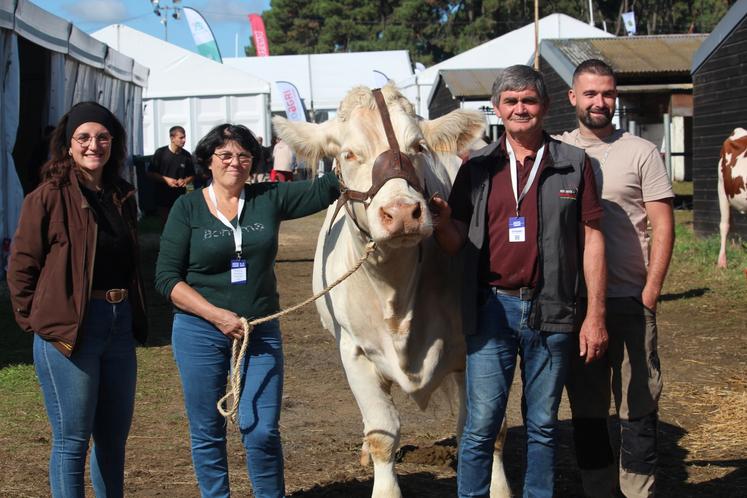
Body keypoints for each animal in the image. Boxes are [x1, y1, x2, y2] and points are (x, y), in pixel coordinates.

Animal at [276, 85, 516, 498]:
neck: (398, 293)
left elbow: (488, 430)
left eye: (417, 147)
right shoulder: (353, 351)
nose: (402, 212)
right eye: (348, 154)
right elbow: (382, 435)